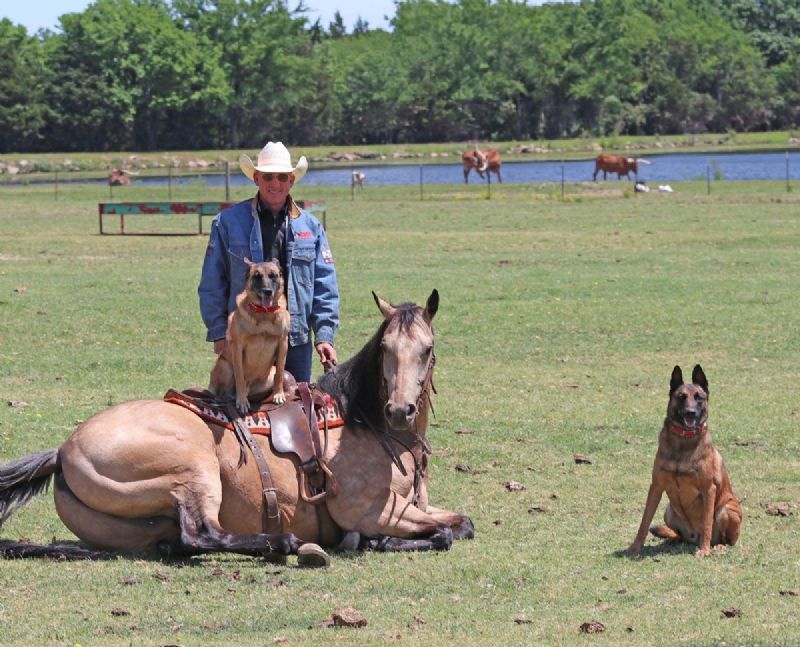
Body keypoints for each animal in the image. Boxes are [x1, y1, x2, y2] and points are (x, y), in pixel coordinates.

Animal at [0, 290, 474, 561]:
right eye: (386, 348)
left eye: (427, 349)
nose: (399, 410)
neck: (364, 420)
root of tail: (64, 451)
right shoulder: (372, 509)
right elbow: (445, 533)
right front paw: (371, 541)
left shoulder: (411, 506)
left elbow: (461, 522)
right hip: (192, 469)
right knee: (201, 535)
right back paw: (285, 544)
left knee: (179, 542)